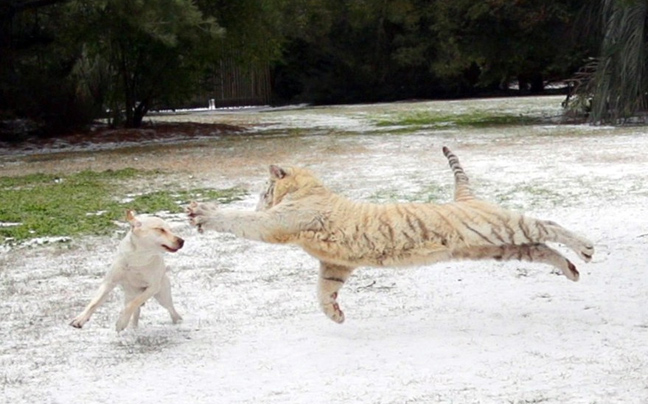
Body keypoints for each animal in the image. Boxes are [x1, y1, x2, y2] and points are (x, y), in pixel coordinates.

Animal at [186, 147, 592, 324]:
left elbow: (241, 221)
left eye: (262, 191)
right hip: (497, 246)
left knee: (548, 225)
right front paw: (335, 315)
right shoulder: (334, 264)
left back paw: (586, 249)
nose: (259, 200)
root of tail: (465, 197)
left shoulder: (278, 224)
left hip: (501, 227)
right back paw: (571, 270)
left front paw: (203, 213)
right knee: (541, 248)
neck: (309, 189)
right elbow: (323, 292)